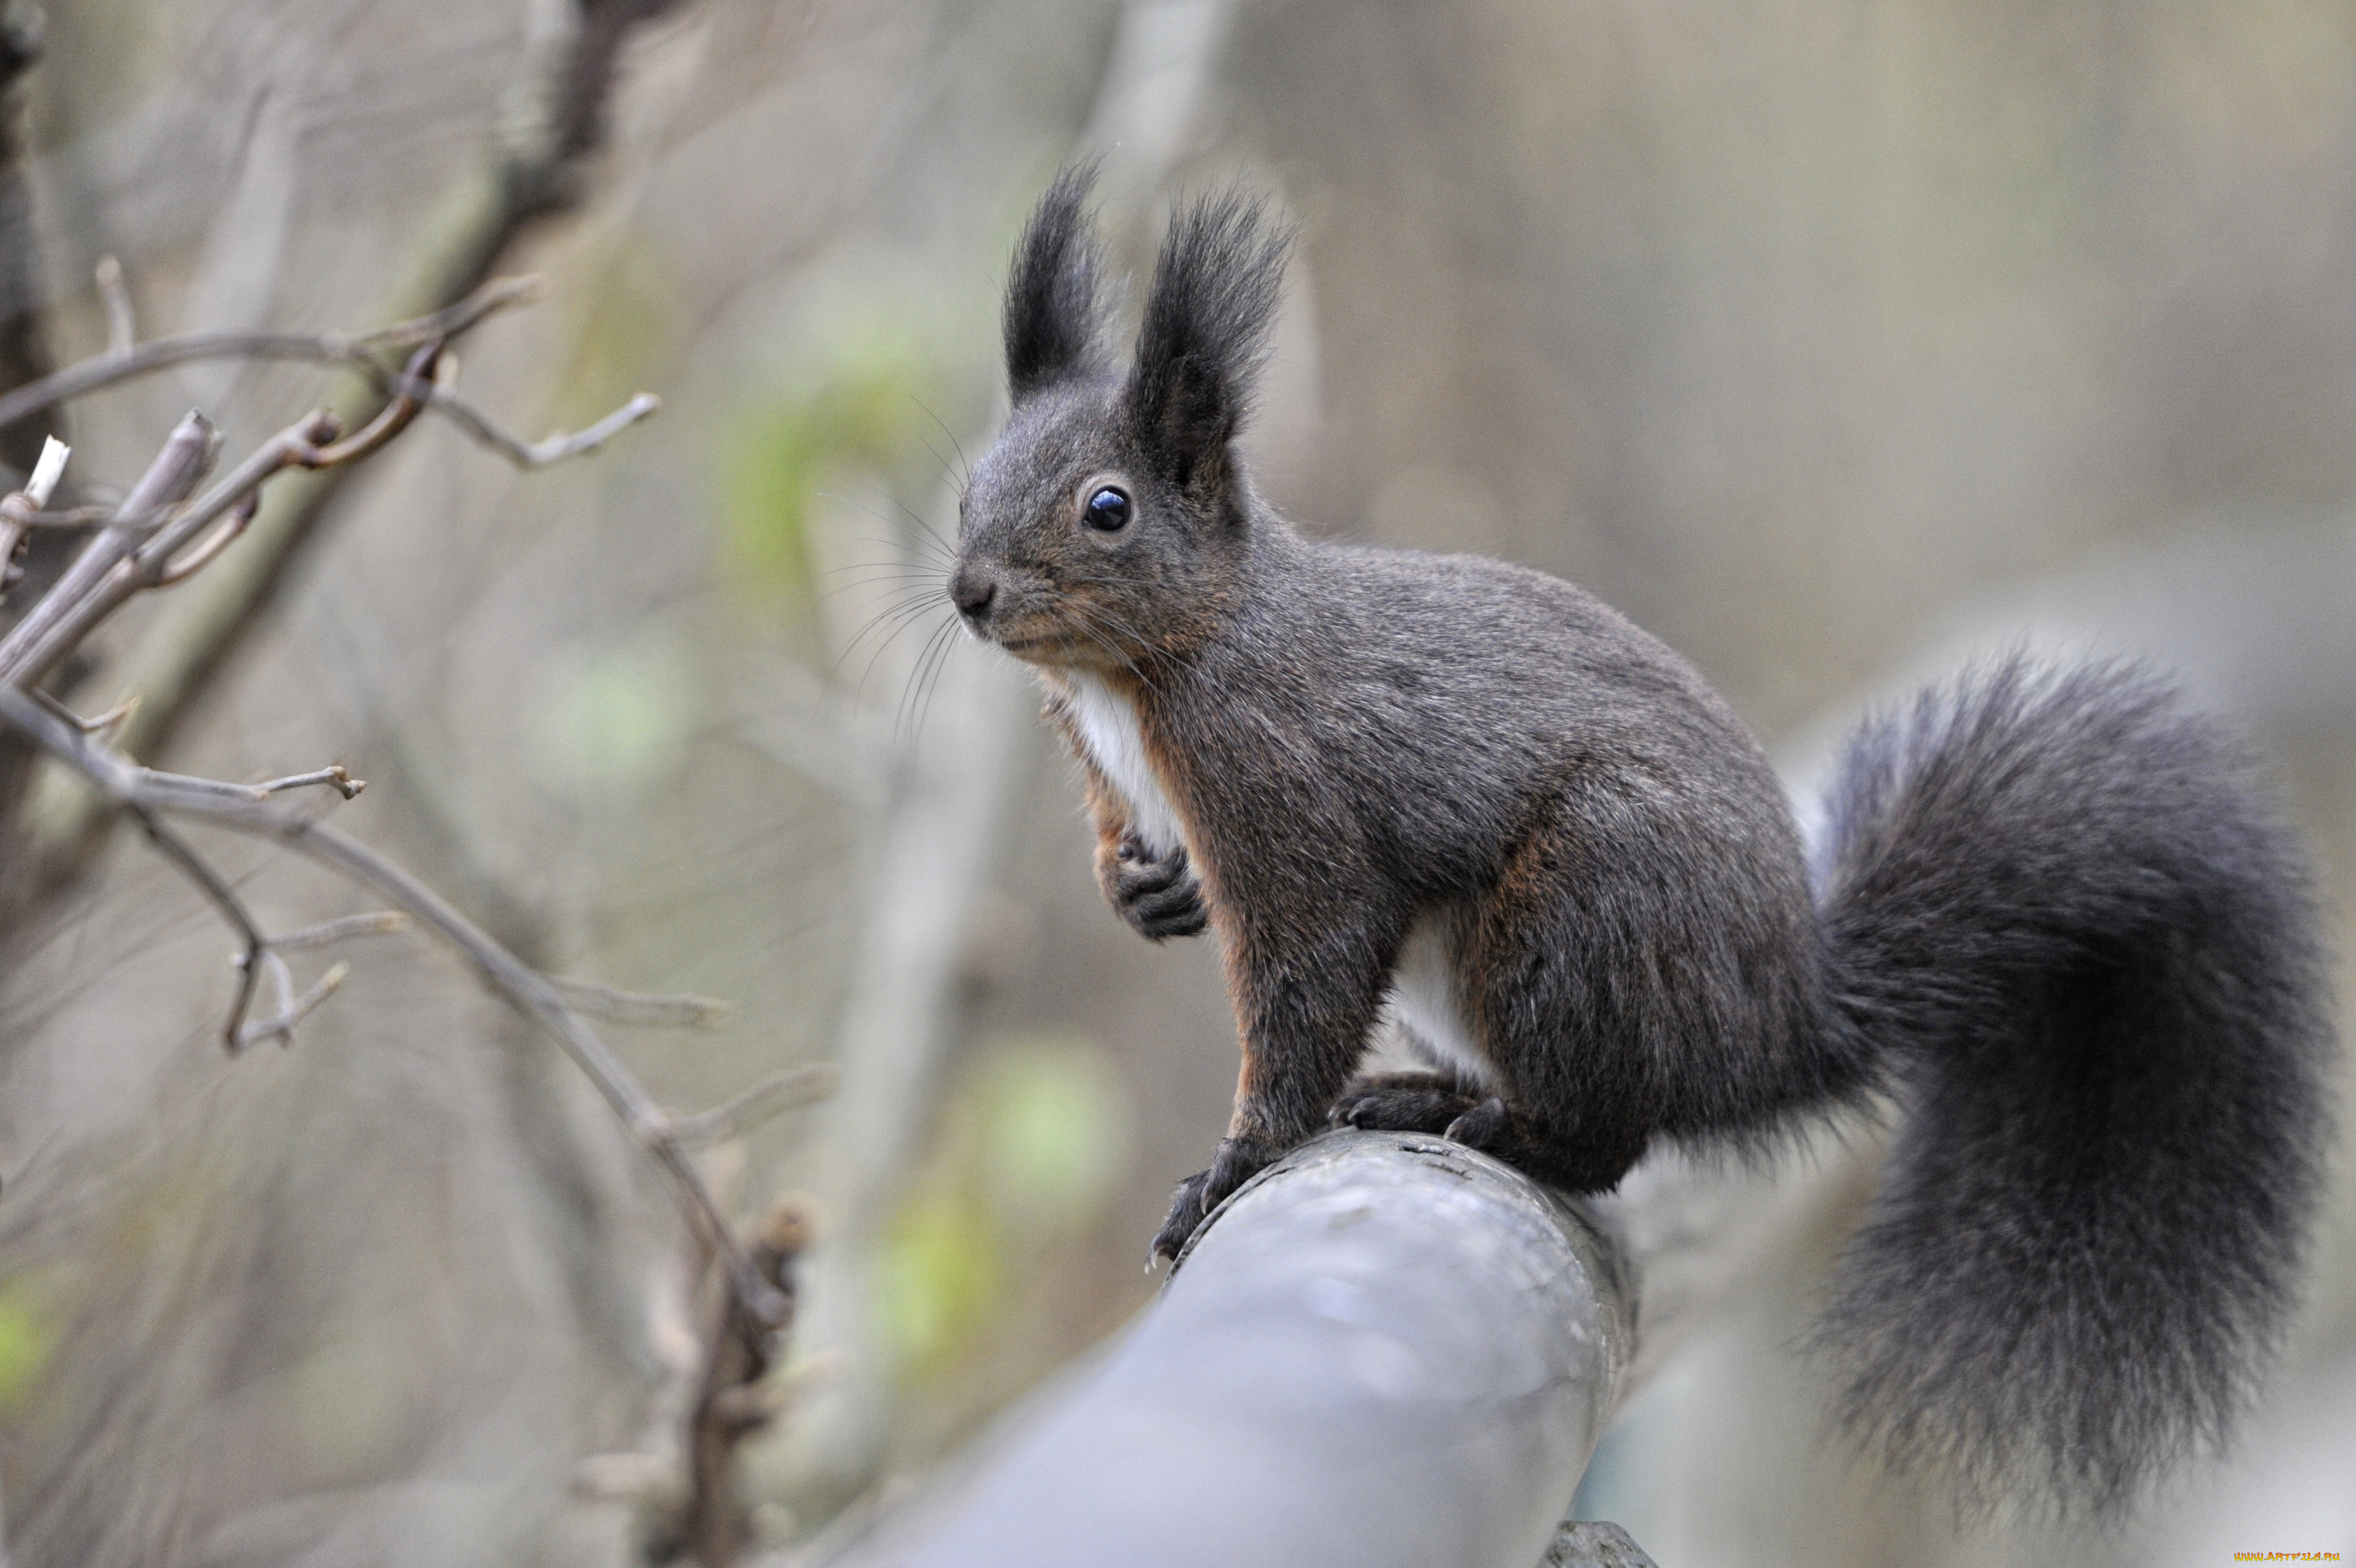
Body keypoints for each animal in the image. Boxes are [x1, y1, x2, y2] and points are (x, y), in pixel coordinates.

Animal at [942, 171, 2337, 1516]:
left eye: (1108, 508)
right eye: (969, 482)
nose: (967, 592)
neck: (1145, 670)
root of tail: (1779, 1021)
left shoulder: (1292, 799)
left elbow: (1308, 979)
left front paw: (1233, 1162)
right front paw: (1144, 887)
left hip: (1579, 917)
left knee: (1610, 1141)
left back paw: (1504, 1130)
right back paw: (1425, 1090)